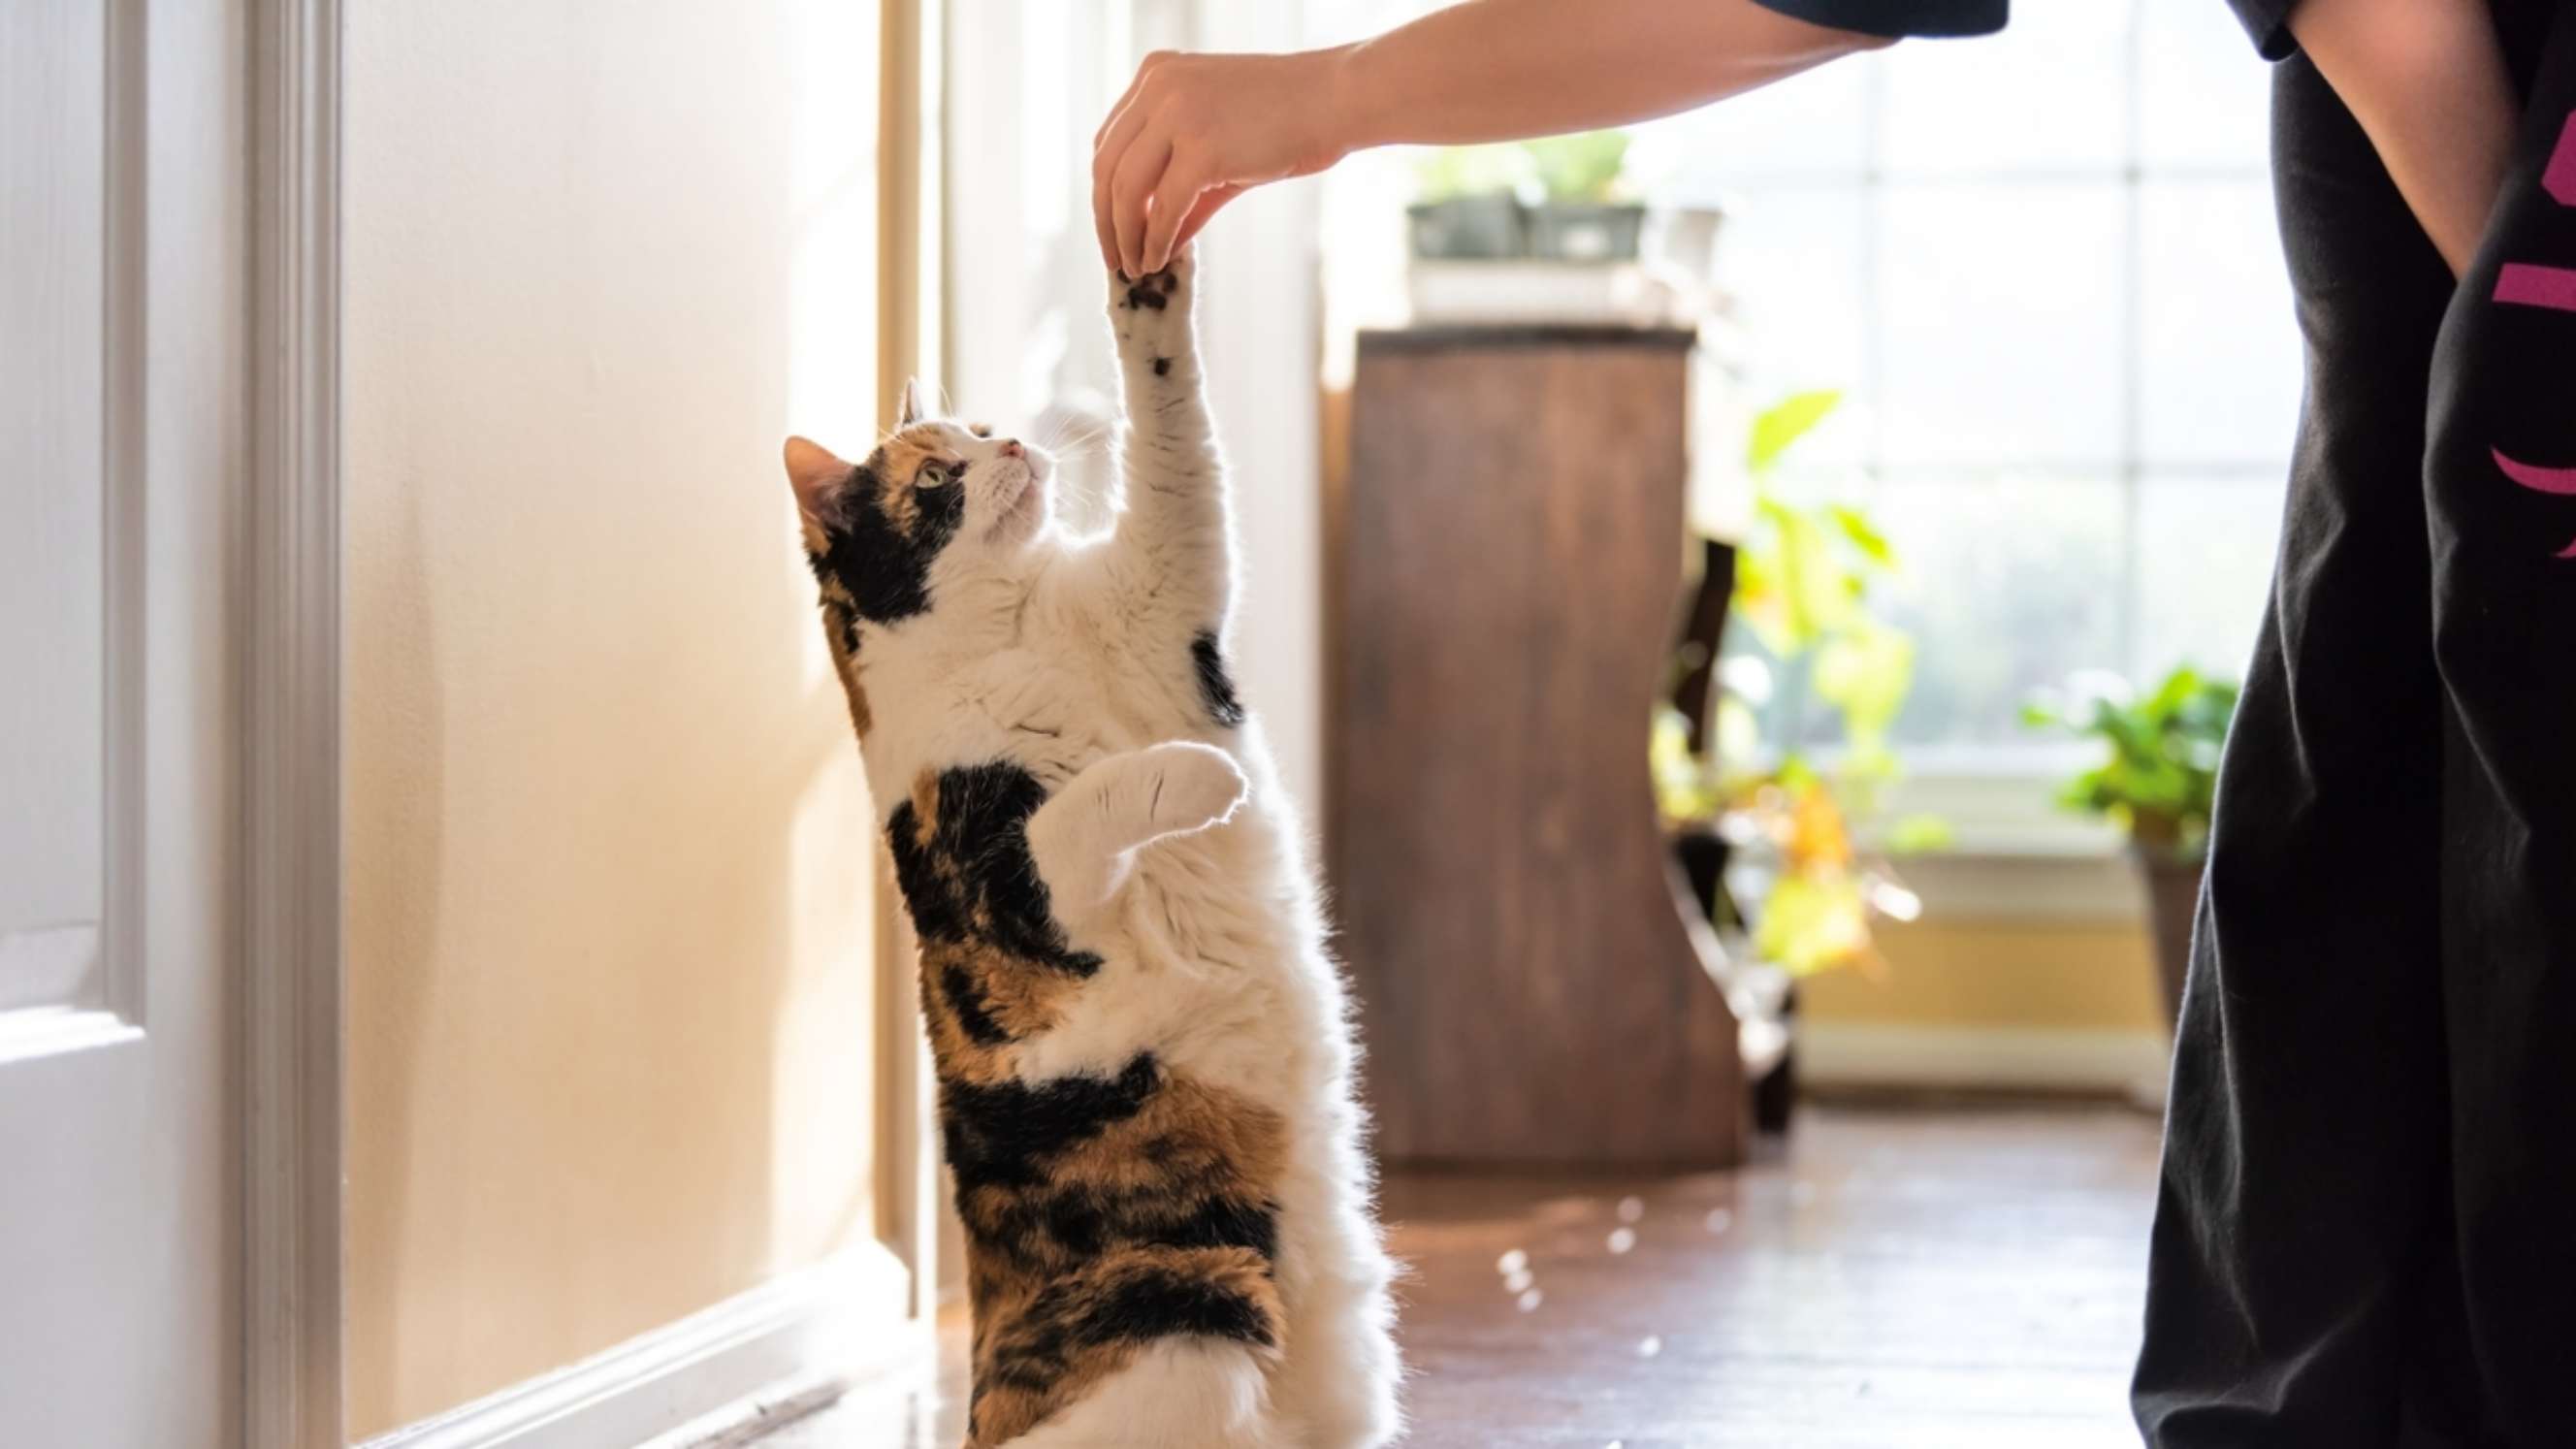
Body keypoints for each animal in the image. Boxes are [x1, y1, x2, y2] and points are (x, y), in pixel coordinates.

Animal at [772, 251, 1401, 1443]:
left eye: (979, 428)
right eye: (937, 480)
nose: (1014, 446)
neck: (1024, 632)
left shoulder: (1164, 580)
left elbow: (1172, 436)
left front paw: (1147, 283)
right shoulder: (1004, 892)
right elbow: (1081, 809)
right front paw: (1198, 778)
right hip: (1190, 1310)